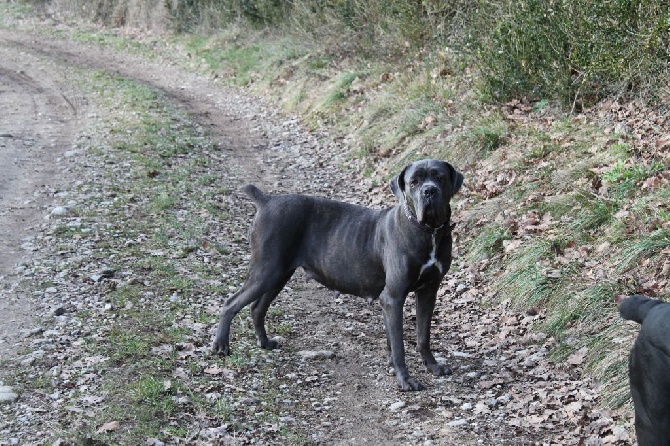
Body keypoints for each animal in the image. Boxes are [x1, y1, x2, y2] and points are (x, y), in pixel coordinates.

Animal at [213, 160, 464, 390]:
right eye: (414, 182)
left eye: (440, 178)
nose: (429, 191)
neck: (429, 232)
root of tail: (266, 201)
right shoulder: (393, 297)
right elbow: (400, 345)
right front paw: (405, 379)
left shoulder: (428, 293)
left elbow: (422, 335)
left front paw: (432, 366)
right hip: (266, 271)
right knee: (230, 303)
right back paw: (221, 345)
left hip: (278, 274)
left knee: (257, 307)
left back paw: (264, 342)